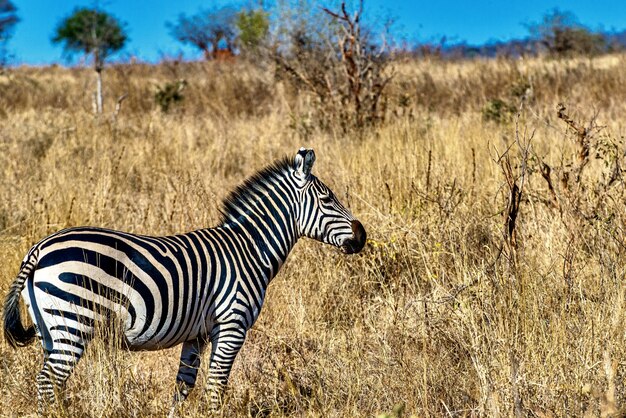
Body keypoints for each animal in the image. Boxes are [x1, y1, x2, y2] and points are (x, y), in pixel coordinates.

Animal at [2, 149, 366, 414]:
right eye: (328, 199)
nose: (362, 236)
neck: (250, 248)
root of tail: (38, 248)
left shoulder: (197, 334)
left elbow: (183, 386)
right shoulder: (231, 326)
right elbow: (216, 386)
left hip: (52, 328)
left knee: (48, 383)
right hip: (73, 322)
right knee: (48, 383)